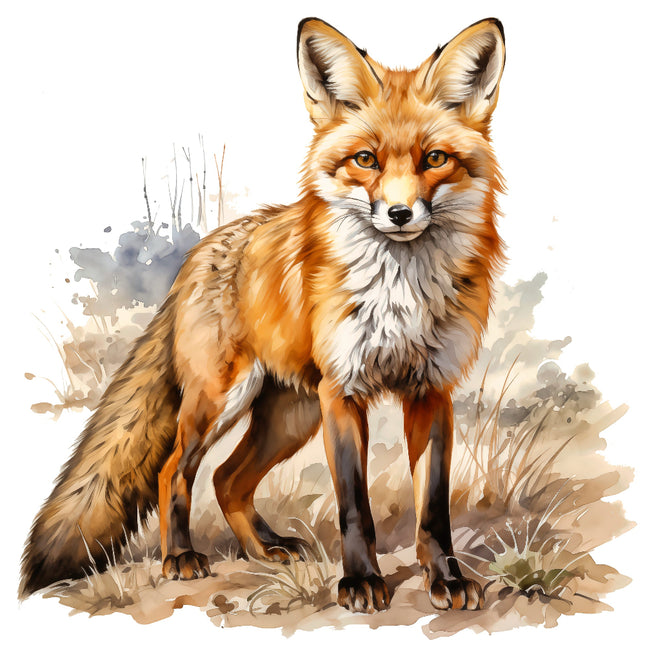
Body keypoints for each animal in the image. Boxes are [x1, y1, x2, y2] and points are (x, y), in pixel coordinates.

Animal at [20, 17, 506, 614]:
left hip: (290, 416)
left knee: (228, 479)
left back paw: (263, 549)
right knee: (173, 470)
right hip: (222, 401)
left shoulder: (431, 390)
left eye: (434, 159)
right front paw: (360, 582)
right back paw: (180, 557)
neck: (400, 294)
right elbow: (354, 506)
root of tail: (205, 249)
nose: (398, 213)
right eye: (365, 160)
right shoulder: (342, 392)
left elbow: (433, 509)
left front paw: (447, 580)